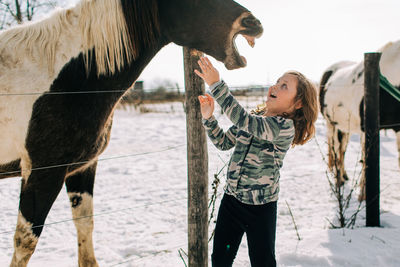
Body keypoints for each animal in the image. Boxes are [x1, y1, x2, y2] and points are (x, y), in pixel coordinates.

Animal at [318, 39, 400, 199]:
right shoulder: (366, 129)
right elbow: (366, 161)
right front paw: (363, 195)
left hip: (345, 127)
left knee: (342, 150)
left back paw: (344, 176)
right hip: (331, 124)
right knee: (336, 150)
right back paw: (338, 181)